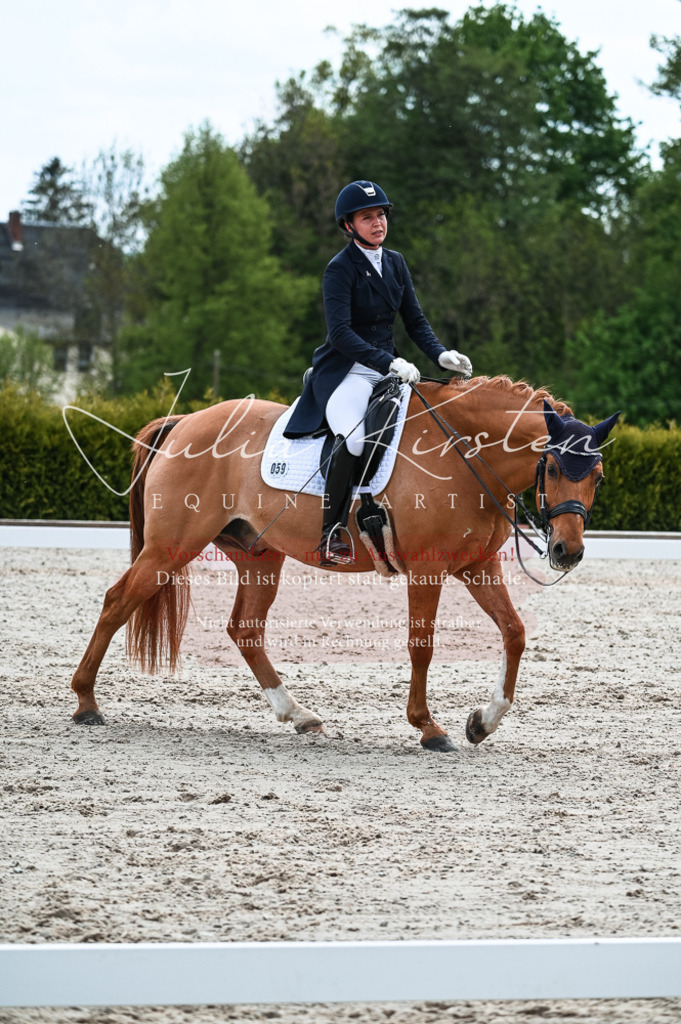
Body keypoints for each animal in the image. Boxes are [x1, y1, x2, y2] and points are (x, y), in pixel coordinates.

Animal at [69, 375, 619, 752]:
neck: (463, 452)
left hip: (258, 555)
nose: (567, 552)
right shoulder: (428, 569)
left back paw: (299, 714)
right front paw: (429, 728)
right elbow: (422, 646)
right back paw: (86, 703)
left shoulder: (478, 566)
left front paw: (482, 722)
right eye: (552, 467)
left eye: (598, 475)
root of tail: (183, 421)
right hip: (171, 547)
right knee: (117, 601)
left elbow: (514, 632)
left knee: (244, 628)